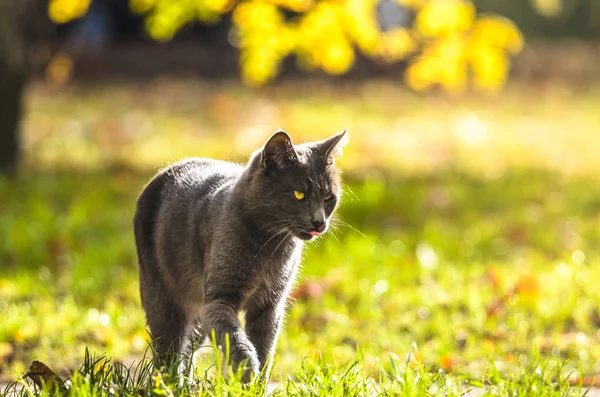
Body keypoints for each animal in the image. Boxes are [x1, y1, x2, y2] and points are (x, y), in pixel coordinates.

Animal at [131, 129, 346, 380]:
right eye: (299, 195)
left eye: (329, 198)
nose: (319, 222)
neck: (270, 246)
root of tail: (170, 167)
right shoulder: (217, 300)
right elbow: (234, 336)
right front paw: (246, 369)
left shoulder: (270, 307)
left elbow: (265, 349)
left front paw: (257, 382)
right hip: (163, 298)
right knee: (168, 353)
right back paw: (170, 384)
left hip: (197, 318)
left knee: (187, 351)